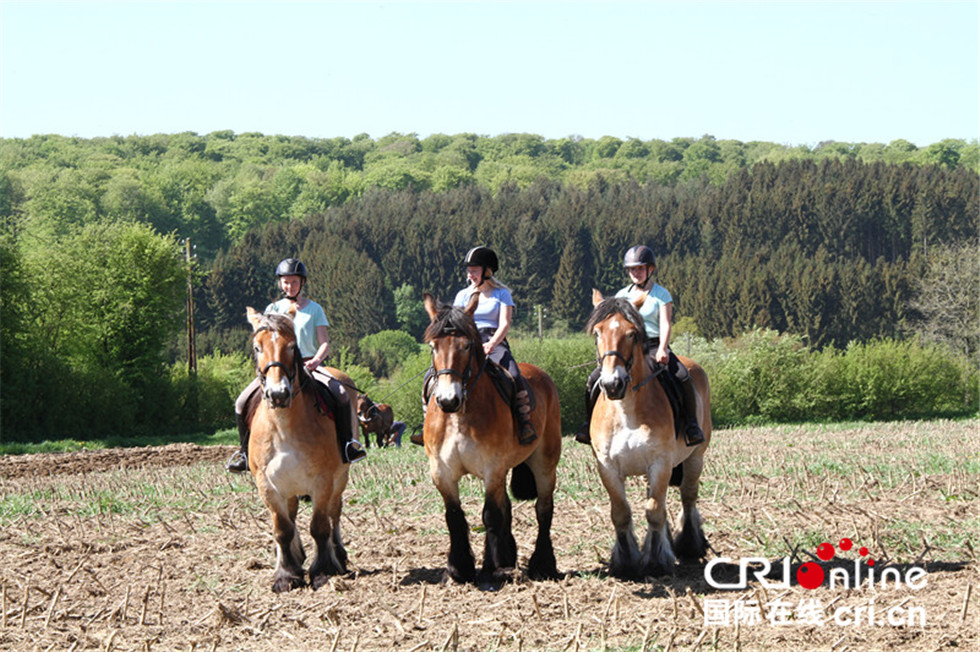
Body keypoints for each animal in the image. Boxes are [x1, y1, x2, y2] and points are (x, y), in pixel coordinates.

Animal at [244, 306, 352, 592]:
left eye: (292, 347)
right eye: (257, 347)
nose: (278, 394)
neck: (283, 427)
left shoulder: (322, 481)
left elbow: (319, 526)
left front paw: (323, 570)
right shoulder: (267, 485)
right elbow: (282, 529)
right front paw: (286, 574)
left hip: (340, 478)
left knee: (334, 513)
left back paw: (339, 555)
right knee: (291, 517)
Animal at [420, 294, 564, 584]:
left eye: (466, 345)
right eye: (433, 346)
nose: (448, 400)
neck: (459, 417)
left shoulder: (492, 468)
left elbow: (491, 515)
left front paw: (492, 570)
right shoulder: (442, 472)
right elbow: (454, 516)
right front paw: (458, 569)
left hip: (544, 464)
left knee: (543, 509)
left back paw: (542, 564)